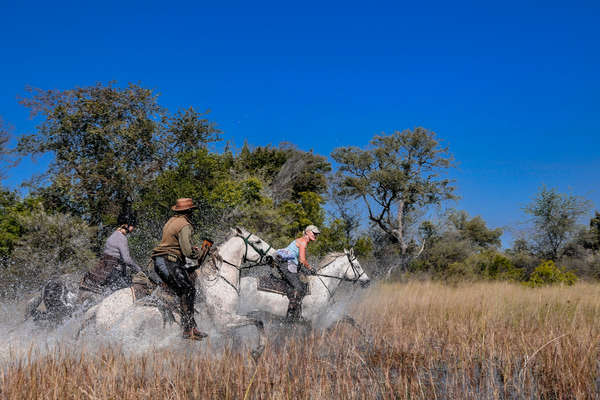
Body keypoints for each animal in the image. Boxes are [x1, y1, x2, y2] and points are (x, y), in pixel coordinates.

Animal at [79, 228, 274, 356]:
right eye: (257, 241)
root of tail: (99, 308)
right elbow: (258, 321)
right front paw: (258, 350)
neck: (218, 280)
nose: (275, 255)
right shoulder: (224, 321)